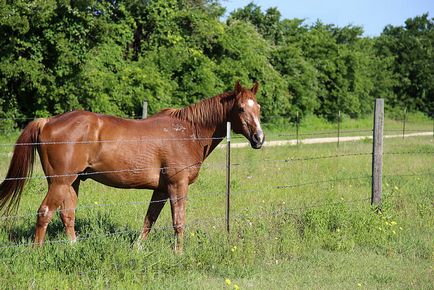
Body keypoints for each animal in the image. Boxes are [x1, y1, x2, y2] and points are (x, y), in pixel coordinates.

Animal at [0, 81, 264, 251]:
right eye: (241, 108)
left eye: (258, 108)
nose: (259, 138)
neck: (188, 131)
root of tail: (47, 121)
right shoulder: (177, 186)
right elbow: (178, 222)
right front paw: (179, 254)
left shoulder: (161, 189)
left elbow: (149, 220)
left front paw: (137, 249)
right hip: (59, 182)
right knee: (45, 212)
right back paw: (37, 252)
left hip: (71, 183)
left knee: (67, 214)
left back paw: (74, 248)